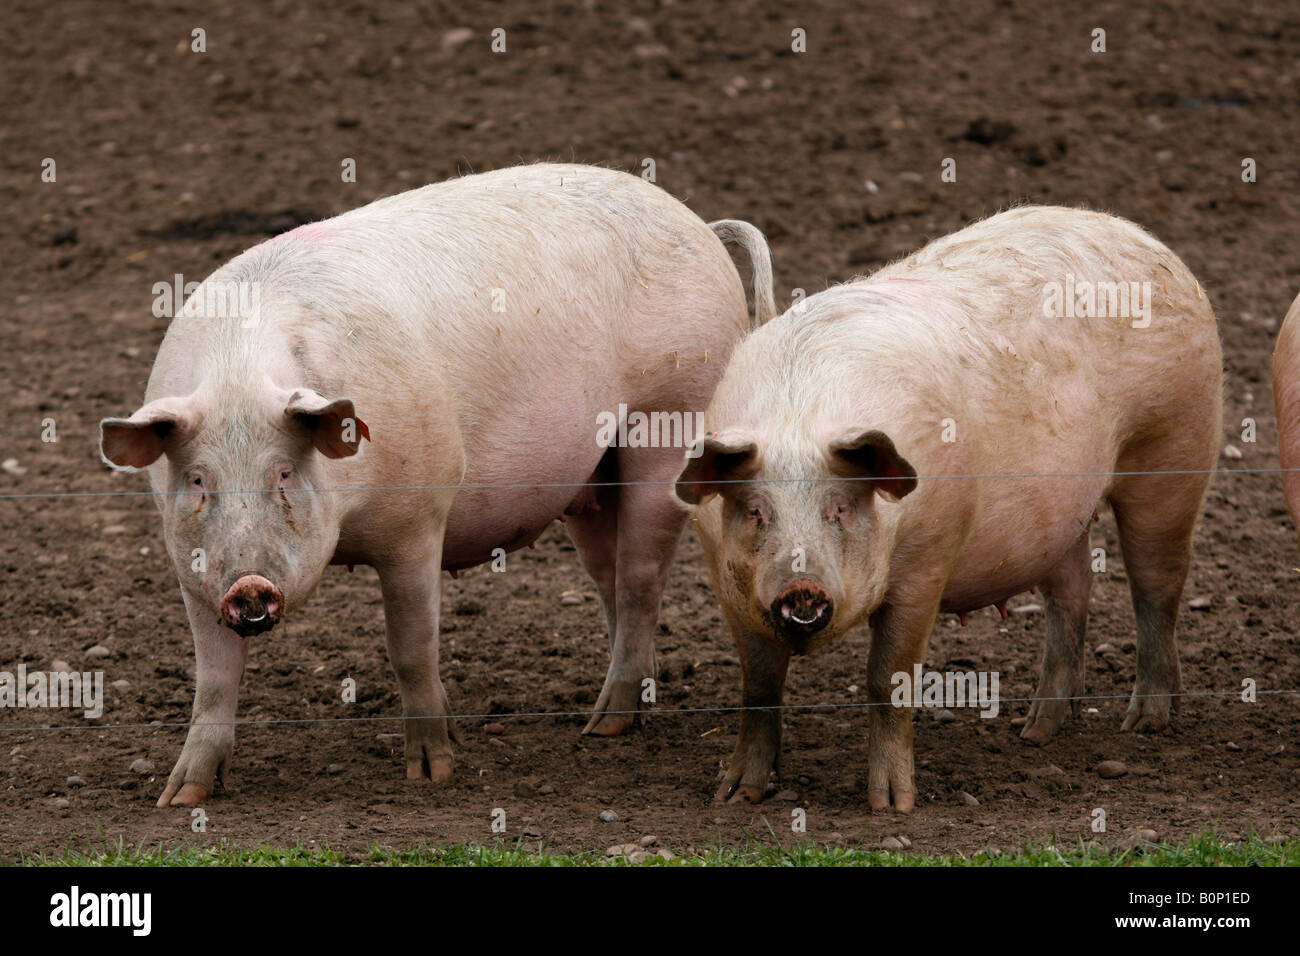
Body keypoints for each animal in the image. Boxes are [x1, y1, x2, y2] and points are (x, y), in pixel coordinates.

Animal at [104, 164, 769, 806]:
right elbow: (213, 677)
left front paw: (433, 773)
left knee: (640, 578)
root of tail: (702, 226)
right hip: (589, 476)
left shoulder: (418, 521)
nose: (248, 586)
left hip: (671, 419)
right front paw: (179, 797)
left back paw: (603, 725)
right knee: (610, 576)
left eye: (284, 473)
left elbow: (410, 647)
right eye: (198, 478)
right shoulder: (189, 567)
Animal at [676, 205, 1222, 811]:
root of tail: (1145, 239)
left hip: (1175, 445)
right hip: (1063, 512)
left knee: (1157, 583)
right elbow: (758, 684)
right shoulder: (728, 581)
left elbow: (887, 679)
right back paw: (1035, 731)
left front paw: (891, 806)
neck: (801, 417)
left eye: (840, 508)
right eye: (755, 511)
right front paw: (733, 795)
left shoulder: (927, 560)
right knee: (1071, 594)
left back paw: (1144, 721)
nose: (802, 587)